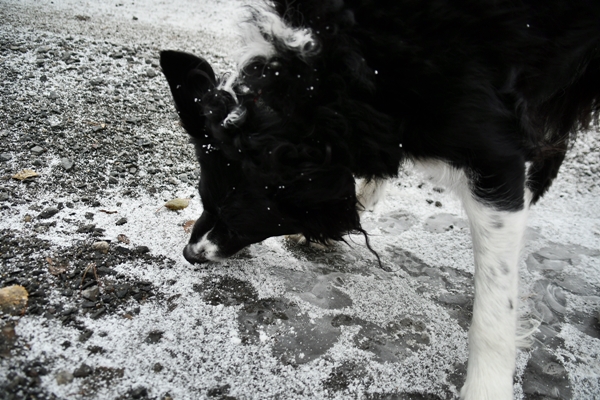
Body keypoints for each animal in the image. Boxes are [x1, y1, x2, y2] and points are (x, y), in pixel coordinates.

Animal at [159, 1, 600, 398]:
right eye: (204, 199)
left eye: (237, 219)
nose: (189, 254)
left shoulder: (493, 158)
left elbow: (494, 306)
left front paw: (485, 387)